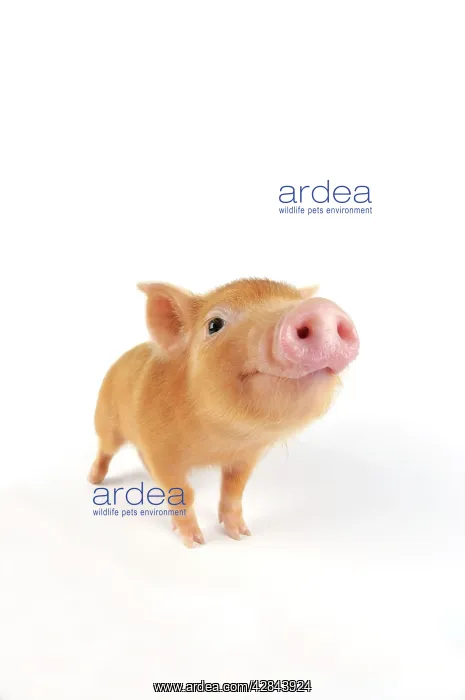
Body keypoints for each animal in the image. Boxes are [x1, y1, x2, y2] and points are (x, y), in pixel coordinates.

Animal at [88, 278, 359, 547]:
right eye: (214, 324)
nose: (320, 309)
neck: (220, 441)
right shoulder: (161, 451)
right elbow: (182, 493)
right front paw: (195, 542)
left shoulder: (247, 456)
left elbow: (234, 490)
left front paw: (241, 534)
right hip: (106, 421)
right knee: (105, 449)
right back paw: (93, 479)